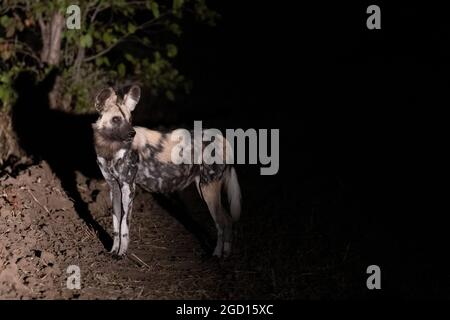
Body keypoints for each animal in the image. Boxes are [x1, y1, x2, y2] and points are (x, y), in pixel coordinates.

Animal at [92, 85, 243, 258]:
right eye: (116, 119)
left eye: (130, 120)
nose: (132, 133)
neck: (110, 148)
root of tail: (221, 138)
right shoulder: (114, 187)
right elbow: (116, 224)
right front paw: (113, 251)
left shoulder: (128, 187)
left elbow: (124, 226)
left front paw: (121, 253)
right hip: (203, 188)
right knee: (228, 220)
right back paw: (226, 253)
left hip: (209, 189)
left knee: (221, 223)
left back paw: (216, 255)